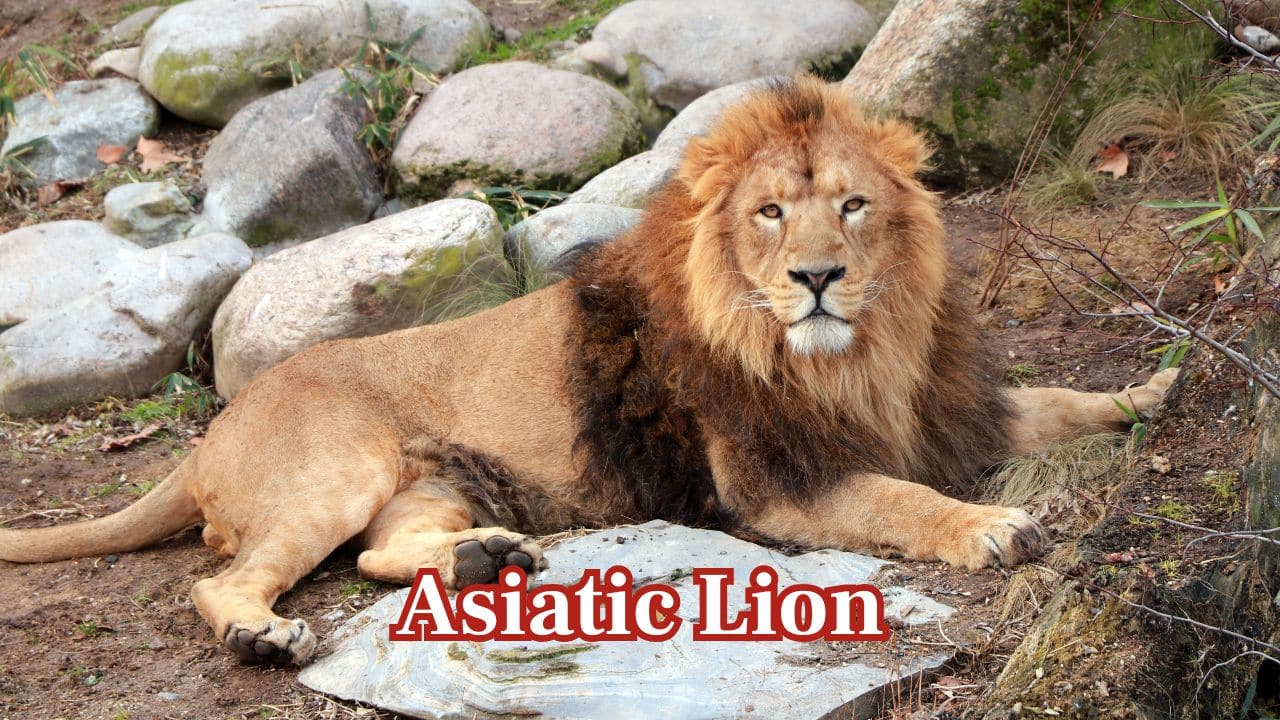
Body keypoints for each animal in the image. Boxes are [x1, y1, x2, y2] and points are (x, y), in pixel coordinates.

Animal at [0, 77, 1177, 666]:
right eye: (768, 212)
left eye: (851, 204)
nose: (816, 278)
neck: (855, 359)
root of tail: (217, 424)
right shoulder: (774, 485)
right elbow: (901, 501)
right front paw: (993, 527)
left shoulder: (940, 413)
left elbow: (1054, 403)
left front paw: (1154, 392)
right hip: (331, 474)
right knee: (225, 578)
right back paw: (262, 634)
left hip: (430, 483)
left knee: (383, 555)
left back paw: (487, 558)